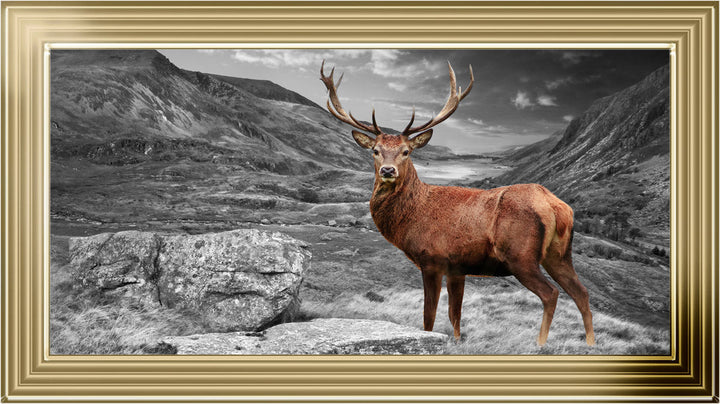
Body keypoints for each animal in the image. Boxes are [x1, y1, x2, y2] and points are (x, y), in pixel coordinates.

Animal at [320, 61, 595, 347]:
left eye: (406, 151)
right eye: (375, 150)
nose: (387, 170)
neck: (412, 217)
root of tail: (556, 206)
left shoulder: (432, 259)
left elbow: (429, 317)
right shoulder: (457, 268)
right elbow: (455, 317)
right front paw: (457, 341)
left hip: (521, 256)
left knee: (551, 293)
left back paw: (540, 344)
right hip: (559, 254)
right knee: (581, 292)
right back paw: (590, 343)